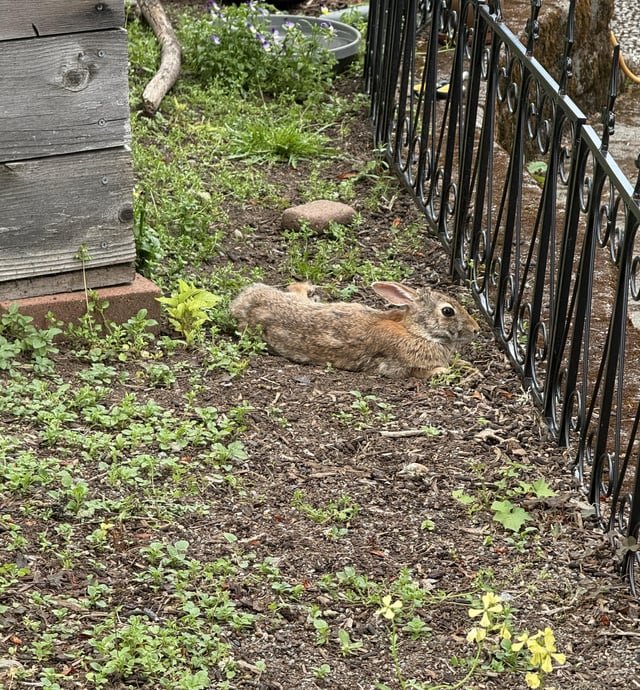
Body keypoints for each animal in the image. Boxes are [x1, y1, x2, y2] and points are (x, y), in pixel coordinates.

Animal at [230, 281, 480, 378]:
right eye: (448, 311)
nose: (476, 329)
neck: (416, 330)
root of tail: (241, 303)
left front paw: (468, 367)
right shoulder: (398, 366)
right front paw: (446, 372)